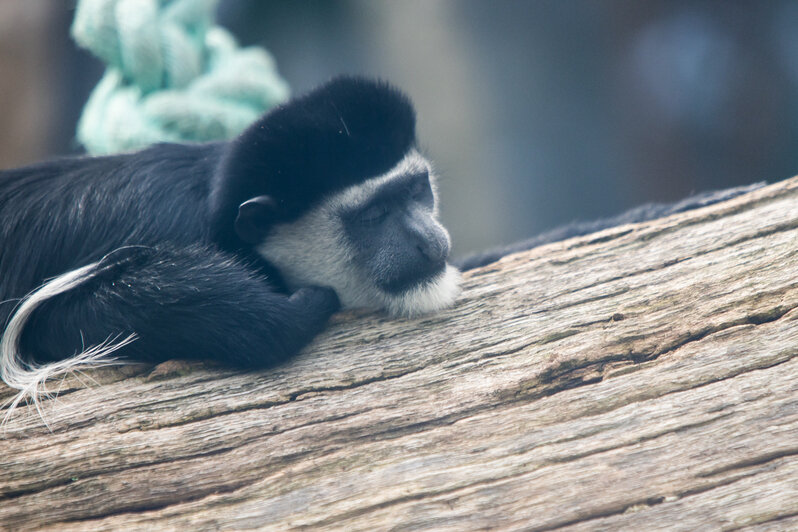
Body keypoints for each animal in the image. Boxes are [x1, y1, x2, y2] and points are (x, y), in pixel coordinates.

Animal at [0, 76, 462, 416]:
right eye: (373, 214)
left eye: (416, 190)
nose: (429, 242)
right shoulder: (165, 226)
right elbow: (67, 315)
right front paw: (292, 312)